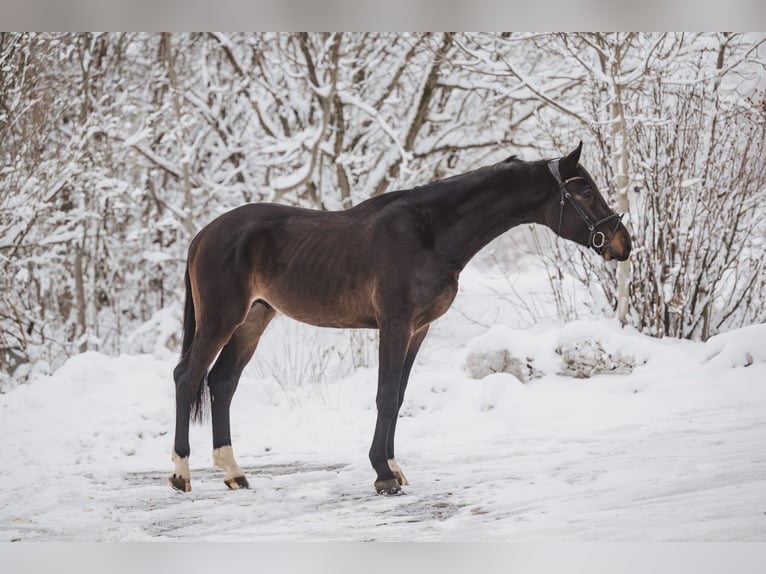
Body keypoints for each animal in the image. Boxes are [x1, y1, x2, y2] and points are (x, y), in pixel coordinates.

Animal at [169, 142, 631, 495]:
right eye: (583, 191)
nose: (621, 243)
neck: (429, 232)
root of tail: (203, 235)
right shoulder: (395, 324)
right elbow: (386, 395)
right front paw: (383, 475)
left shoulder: (419, 330)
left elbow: (400, 397)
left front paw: (392, 468)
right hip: (221, 319)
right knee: (188, 377)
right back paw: (180, 475)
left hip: (253, 320)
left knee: (222, 382)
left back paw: (234, 473)